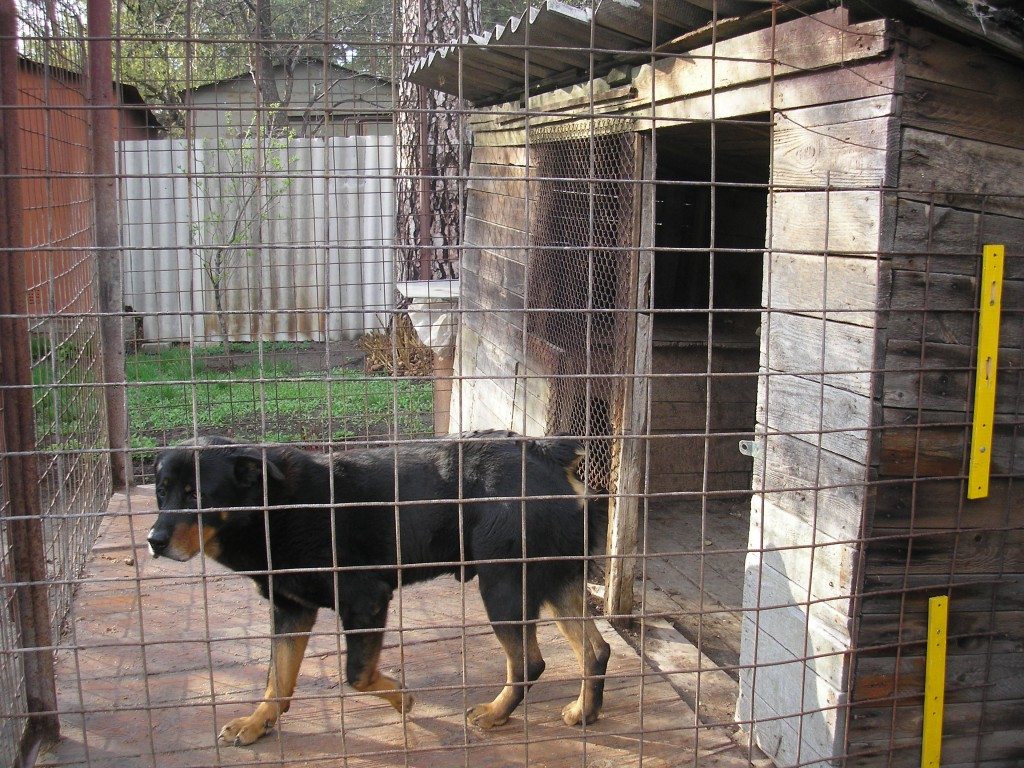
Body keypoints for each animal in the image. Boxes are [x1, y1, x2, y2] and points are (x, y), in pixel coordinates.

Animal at [144, 436, 606, 749]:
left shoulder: (366, 600)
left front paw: (402, 699)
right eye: (162, 492)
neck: (275, 506)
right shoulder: (291, 610)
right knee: (595, 650)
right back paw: (585, 710)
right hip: (555, 579)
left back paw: (496, 712)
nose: (154, 540)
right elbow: (278, 679)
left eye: (198, 496)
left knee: (529, 662)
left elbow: (357, 675)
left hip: (503, 584)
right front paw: (257, 722)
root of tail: (545, 452)